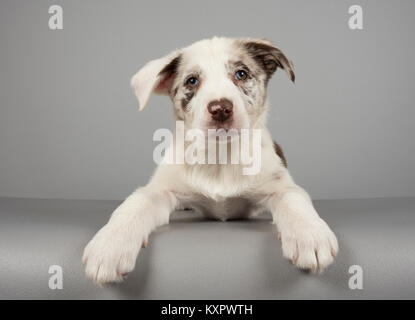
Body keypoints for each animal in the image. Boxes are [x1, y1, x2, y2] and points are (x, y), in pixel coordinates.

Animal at [83, 37, 340, 284]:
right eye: (192, 81)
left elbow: (294, 200)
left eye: (241, 74)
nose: (220, 109)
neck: (220, 157)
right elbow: (135, 204)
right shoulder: (159, 190)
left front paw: (310, 235)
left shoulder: (280, 185)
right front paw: (109, 246)